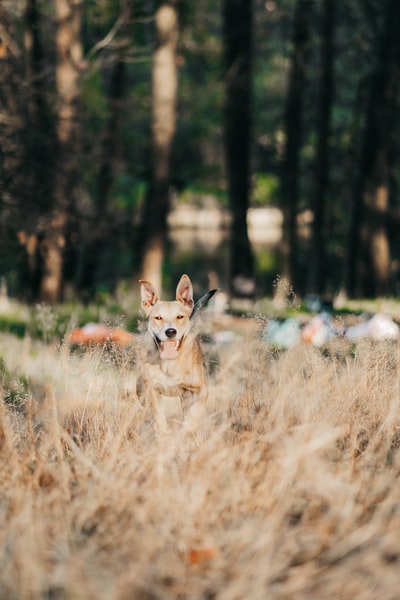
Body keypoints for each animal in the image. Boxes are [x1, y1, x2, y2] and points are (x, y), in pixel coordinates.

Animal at [136, 274, 216, 434]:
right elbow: (160, 418)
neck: (170, 364)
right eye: (158, 318)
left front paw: (185, 432)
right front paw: (165, 436)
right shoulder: (153, 390)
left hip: (186, 396)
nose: (171, 331)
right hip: (141, 389)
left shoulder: (201, 389)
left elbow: (194, 415)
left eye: (180, 317)